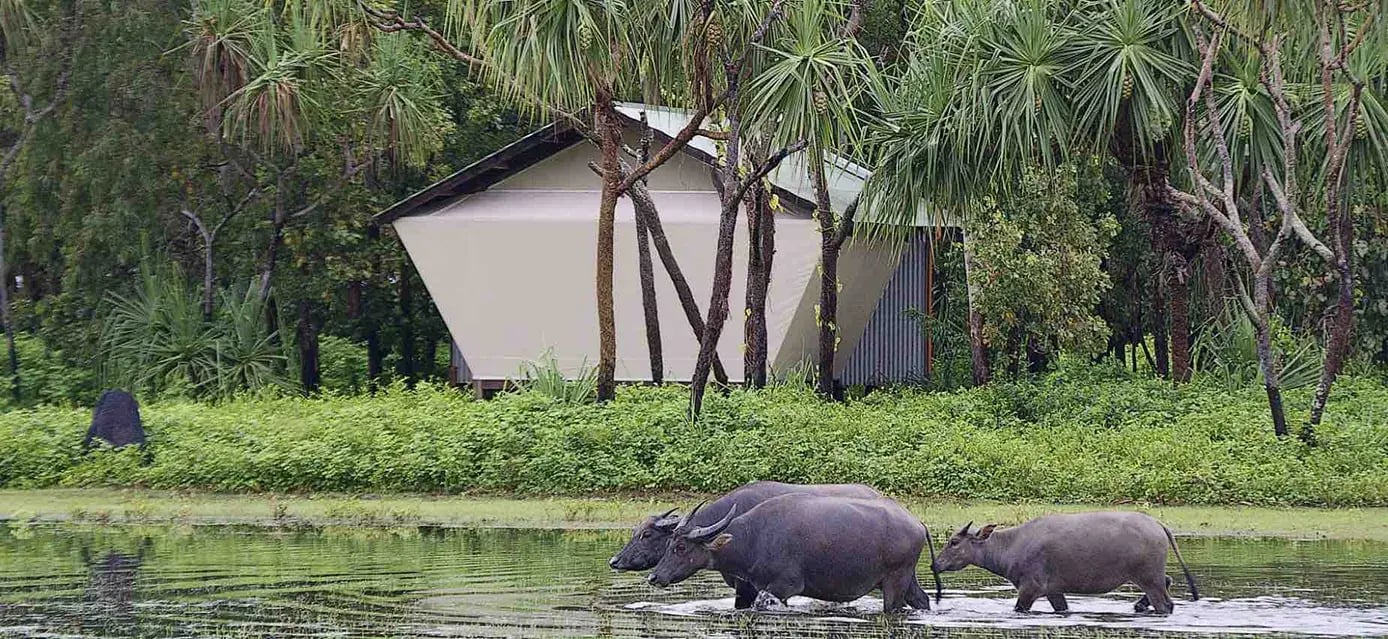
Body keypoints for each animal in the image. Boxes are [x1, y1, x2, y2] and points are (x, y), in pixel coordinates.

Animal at [644, 494, 938, 613]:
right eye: (669, 545)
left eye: (681, 548)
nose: (654, 577)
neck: (754, 538)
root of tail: (916, 523)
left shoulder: (785, 586)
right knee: (922, 601)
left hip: (895, 581)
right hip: (907, 579)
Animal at [927, 508, 1199, 613]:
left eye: (954, 541)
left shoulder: (1030, 588)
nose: (935, 564)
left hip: (1148, 577)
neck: (1011, 546)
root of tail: (1158, 525)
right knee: (1168, 580)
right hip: (1151, 576)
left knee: (1165, 603)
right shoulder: (1054, 591)